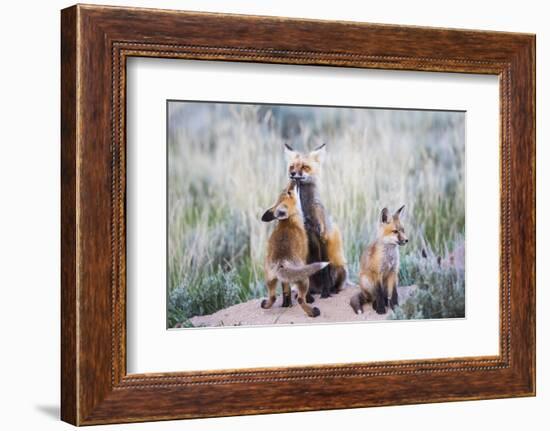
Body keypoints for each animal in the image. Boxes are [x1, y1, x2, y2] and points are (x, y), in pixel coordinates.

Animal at [262, 181, 330, 318]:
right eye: (288, 192)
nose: (294, 179)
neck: (289, 221)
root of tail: (281, 261)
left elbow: (286, 290)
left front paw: (286, 304)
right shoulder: (304, 256)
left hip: (270, 280)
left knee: (272, 297)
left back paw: (266, 304)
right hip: (303, 279)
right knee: (300, 299)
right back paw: (313, 311)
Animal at [286, 143, 348, 298]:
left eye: (304, 167)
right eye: (292, 167)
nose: (293, 174)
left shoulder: (322, 237)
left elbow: (325, 270)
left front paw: (326, 293)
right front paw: (307, 297)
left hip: (339, 268)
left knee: (337, 283)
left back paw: (332, 290)